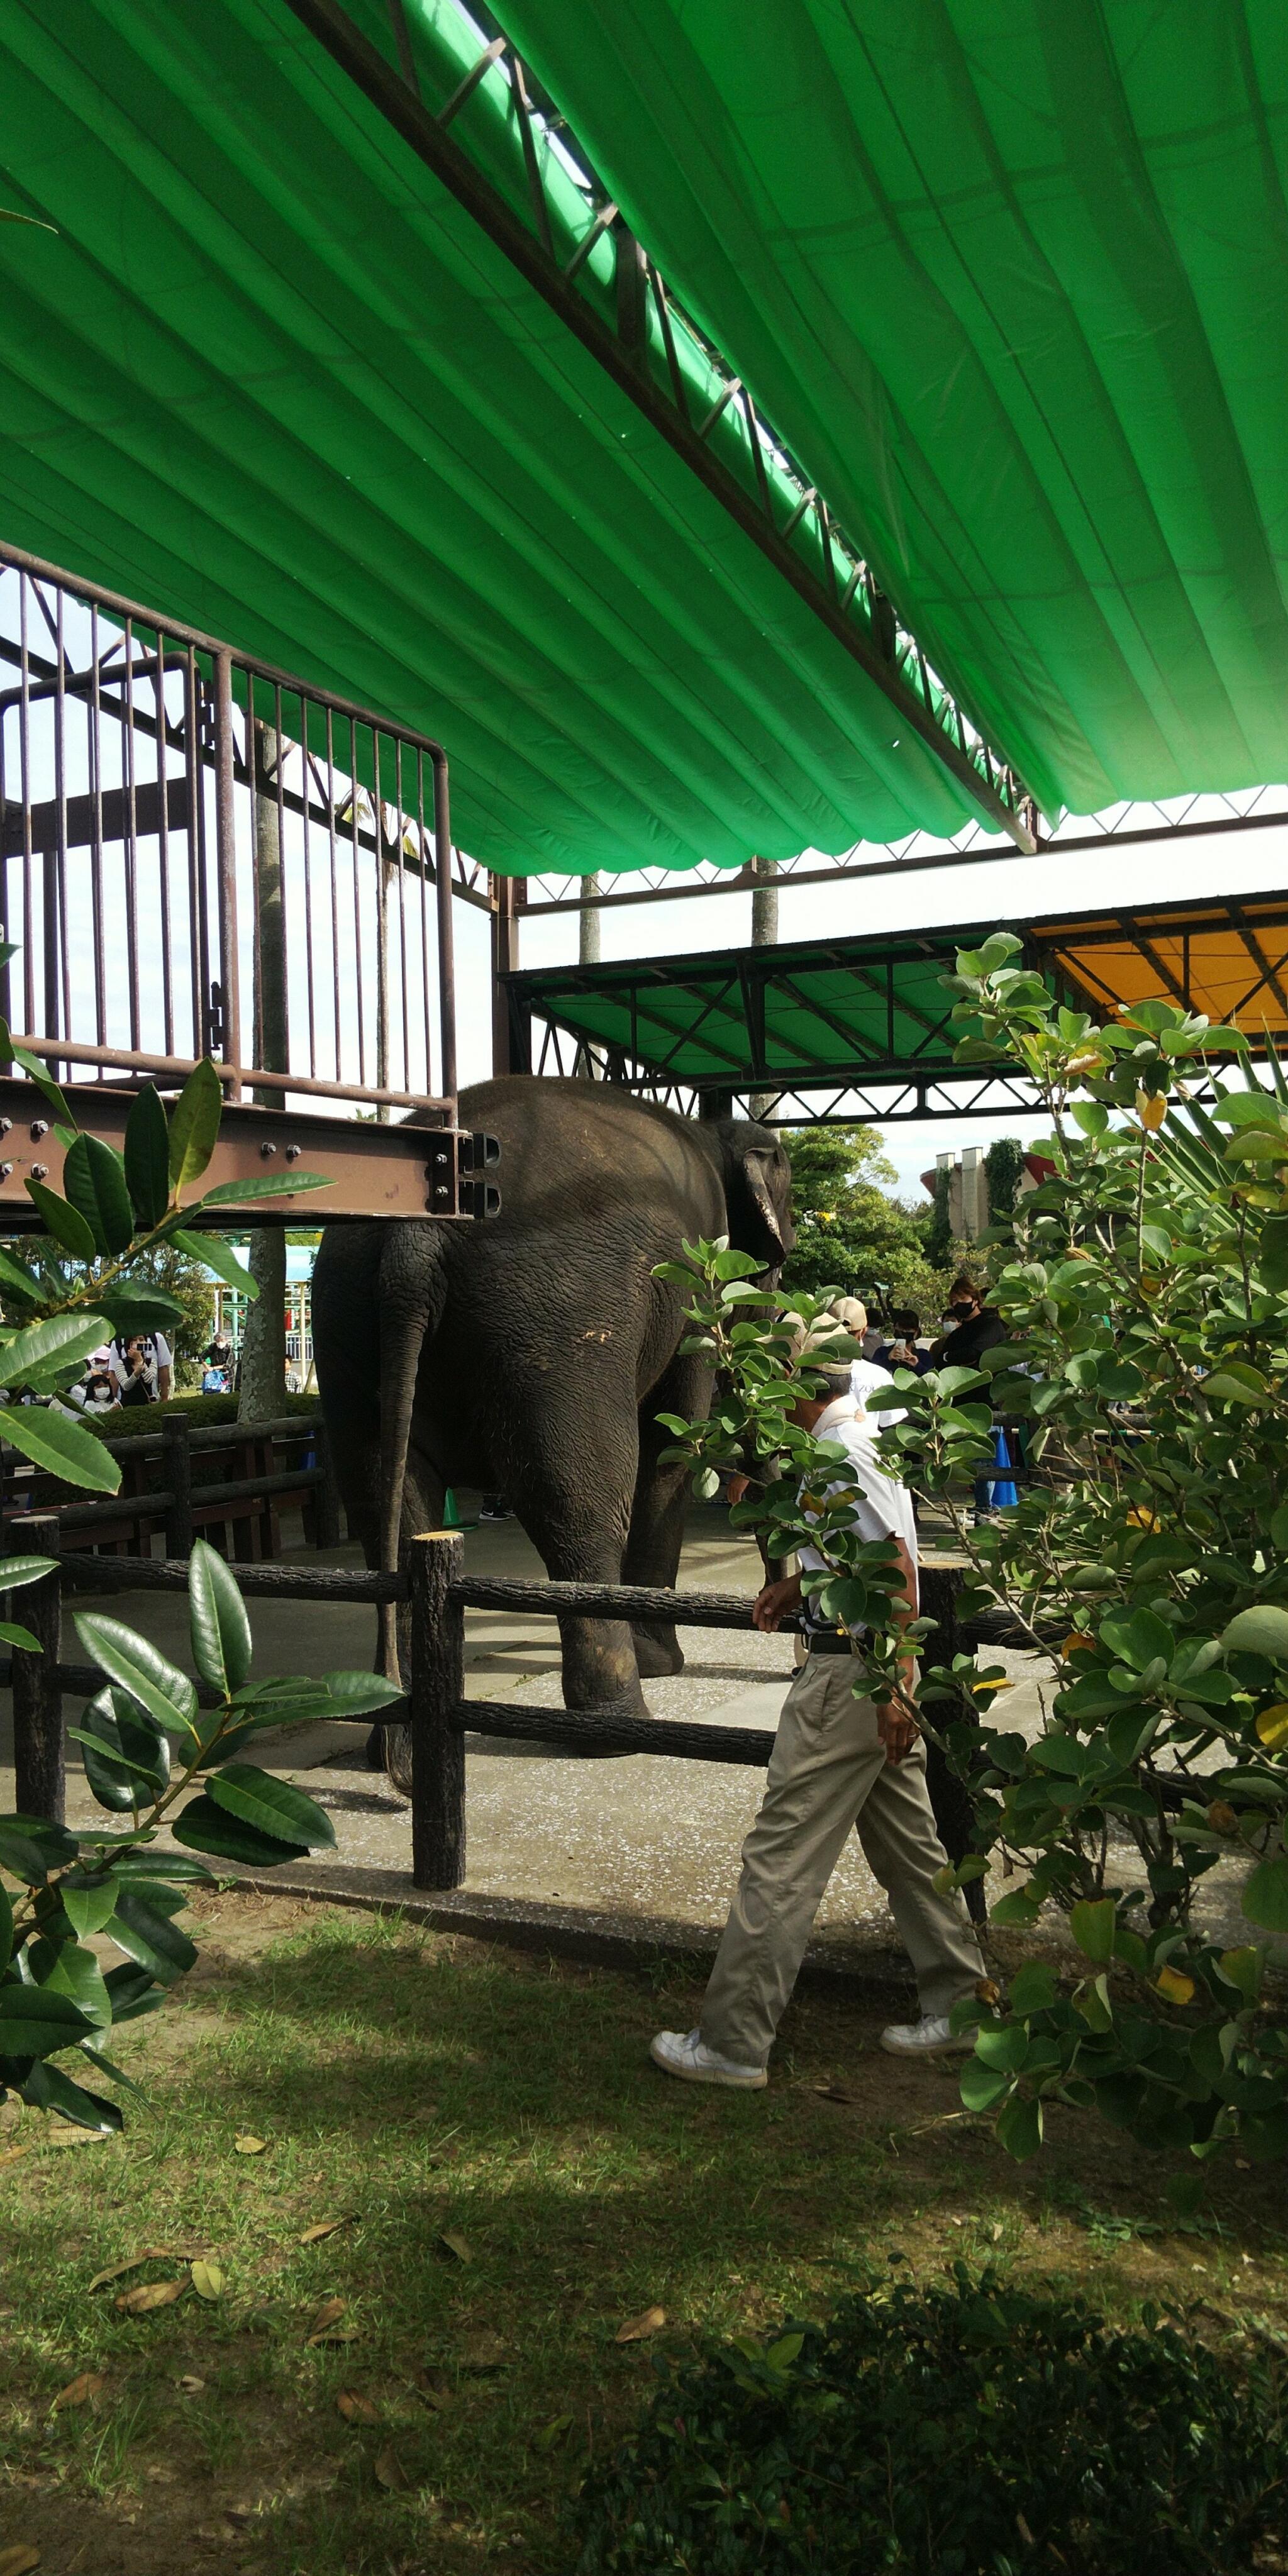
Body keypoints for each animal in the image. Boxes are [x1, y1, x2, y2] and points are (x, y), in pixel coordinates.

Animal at [313, 1077, 793, 1782]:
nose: (779, 1625)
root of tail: (420, 1230)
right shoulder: (692, 1280)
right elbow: (675, 1436)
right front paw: (664, 1663)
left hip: (344, 1318)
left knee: (384, 1503)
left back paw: (393, 1750)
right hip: (557, 1327)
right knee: (578, 1502)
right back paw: (618, 1729)